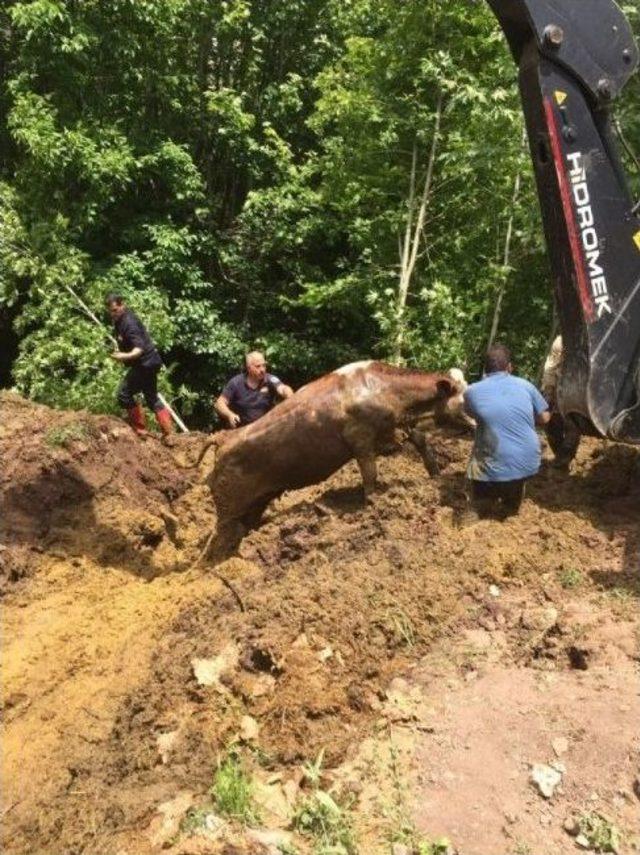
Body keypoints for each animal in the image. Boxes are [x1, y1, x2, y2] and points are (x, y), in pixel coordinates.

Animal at [205, 362, 464, 560]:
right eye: (465, 397)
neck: (383, 390)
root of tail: (222, 441)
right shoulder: (360, 439)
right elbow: (370, 472)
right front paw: (373, 504)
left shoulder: (396, 425)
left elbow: (420, 441)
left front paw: (435, 475)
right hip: (228, 510)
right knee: (221, 541)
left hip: (256, 503)